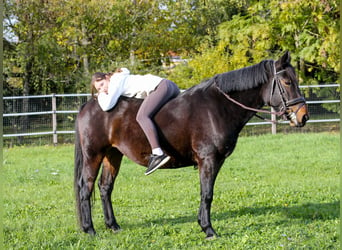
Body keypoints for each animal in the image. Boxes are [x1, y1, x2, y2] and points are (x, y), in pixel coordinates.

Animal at [73, 51, 308, 238]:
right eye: (287, 82)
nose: (303, 116)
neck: (218, 107)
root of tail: (90, 104)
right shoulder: (208, 160)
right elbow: (207, 194)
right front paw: (208, 229)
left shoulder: (217, 161)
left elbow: (207, 193)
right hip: (94, 155)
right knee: (86, 187)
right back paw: (89, 229)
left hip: (113, 155)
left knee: (105, 188)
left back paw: (112, 226)